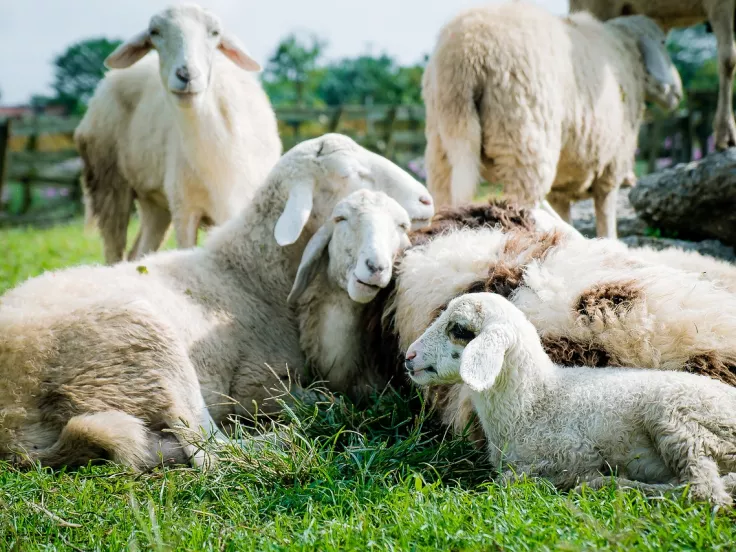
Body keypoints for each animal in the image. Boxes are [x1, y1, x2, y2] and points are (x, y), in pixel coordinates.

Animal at [75, 3, 282, 264]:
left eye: (215, 32)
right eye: (154, 32)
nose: (186, 75)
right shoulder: (185, 210)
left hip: (154, 201)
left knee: (139, 252)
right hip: (109, 183)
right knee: (115, 251)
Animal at [406, 292, 736, 506]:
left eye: (459, 329)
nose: (409, 357)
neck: (535, 401)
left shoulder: (572, 453)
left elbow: (512, 480)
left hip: (679, 420)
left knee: (704, 491)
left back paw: (611, 486)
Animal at [422, 2, 680, 239]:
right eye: (663, 43)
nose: (677, 93)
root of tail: (465, 54)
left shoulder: (562, 185)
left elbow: (566, 212)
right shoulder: (612, 165)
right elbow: (606, 217)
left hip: (444, 139)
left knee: (445, 193)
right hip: (522, 137)